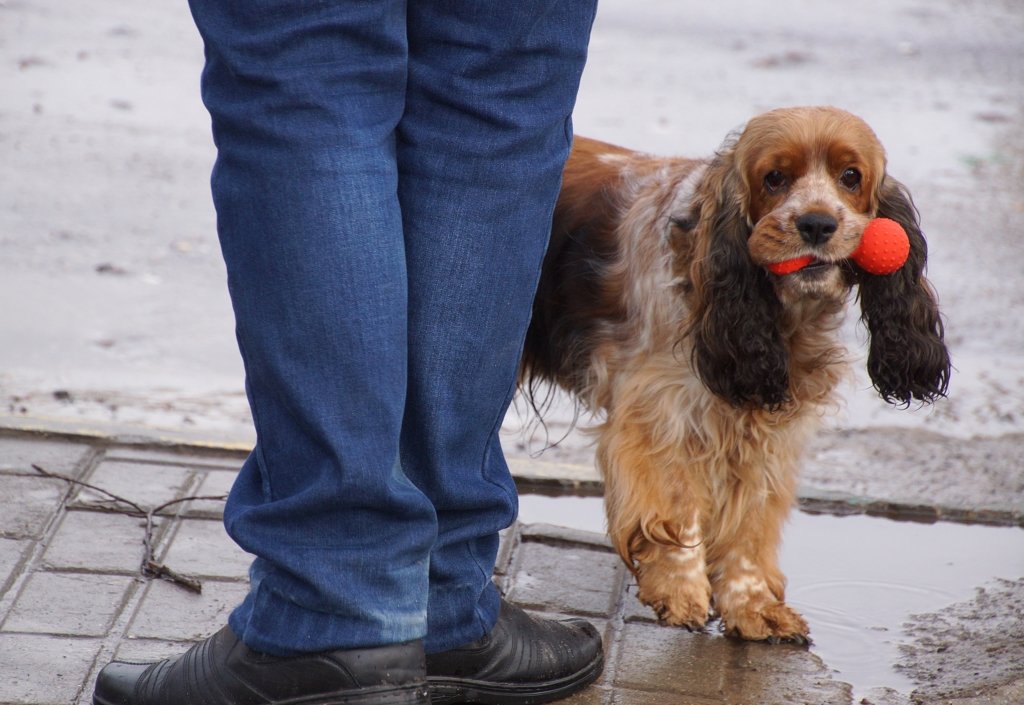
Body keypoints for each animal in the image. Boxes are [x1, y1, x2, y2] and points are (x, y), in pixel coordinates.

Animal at [520, 106, 950, 643]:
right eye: (774, 177)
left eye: (851, 176)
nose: (816, 223)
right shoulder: (661, 413)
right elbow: (676, 506)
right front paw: (680, 590)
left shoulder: (768, 433)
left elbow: (751, 523)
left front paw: (754, 607)